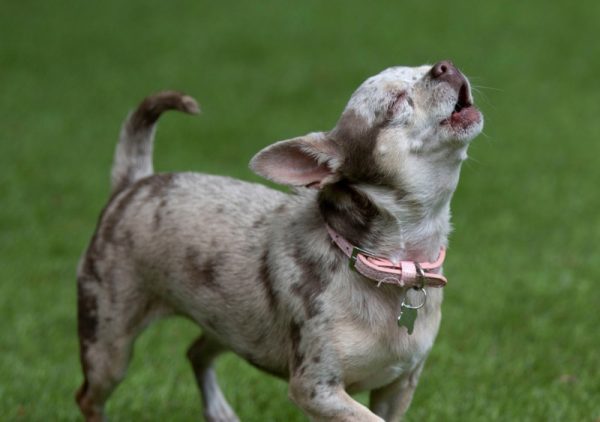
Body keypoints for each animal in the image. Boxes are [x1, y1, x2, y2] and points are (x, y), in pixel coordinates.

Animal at [77, 60, 486, 422]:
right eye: (396, 102)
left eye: (424, 66)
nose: (444, 66)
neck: (391, 262)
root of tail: (134, 183)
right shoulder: (316, 389)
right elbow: (368, 419)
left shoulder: (398, 385)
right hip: (109, 346)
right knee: (88, 397)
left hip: (232, 324)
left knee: (196, 352)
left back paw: (220, 412)